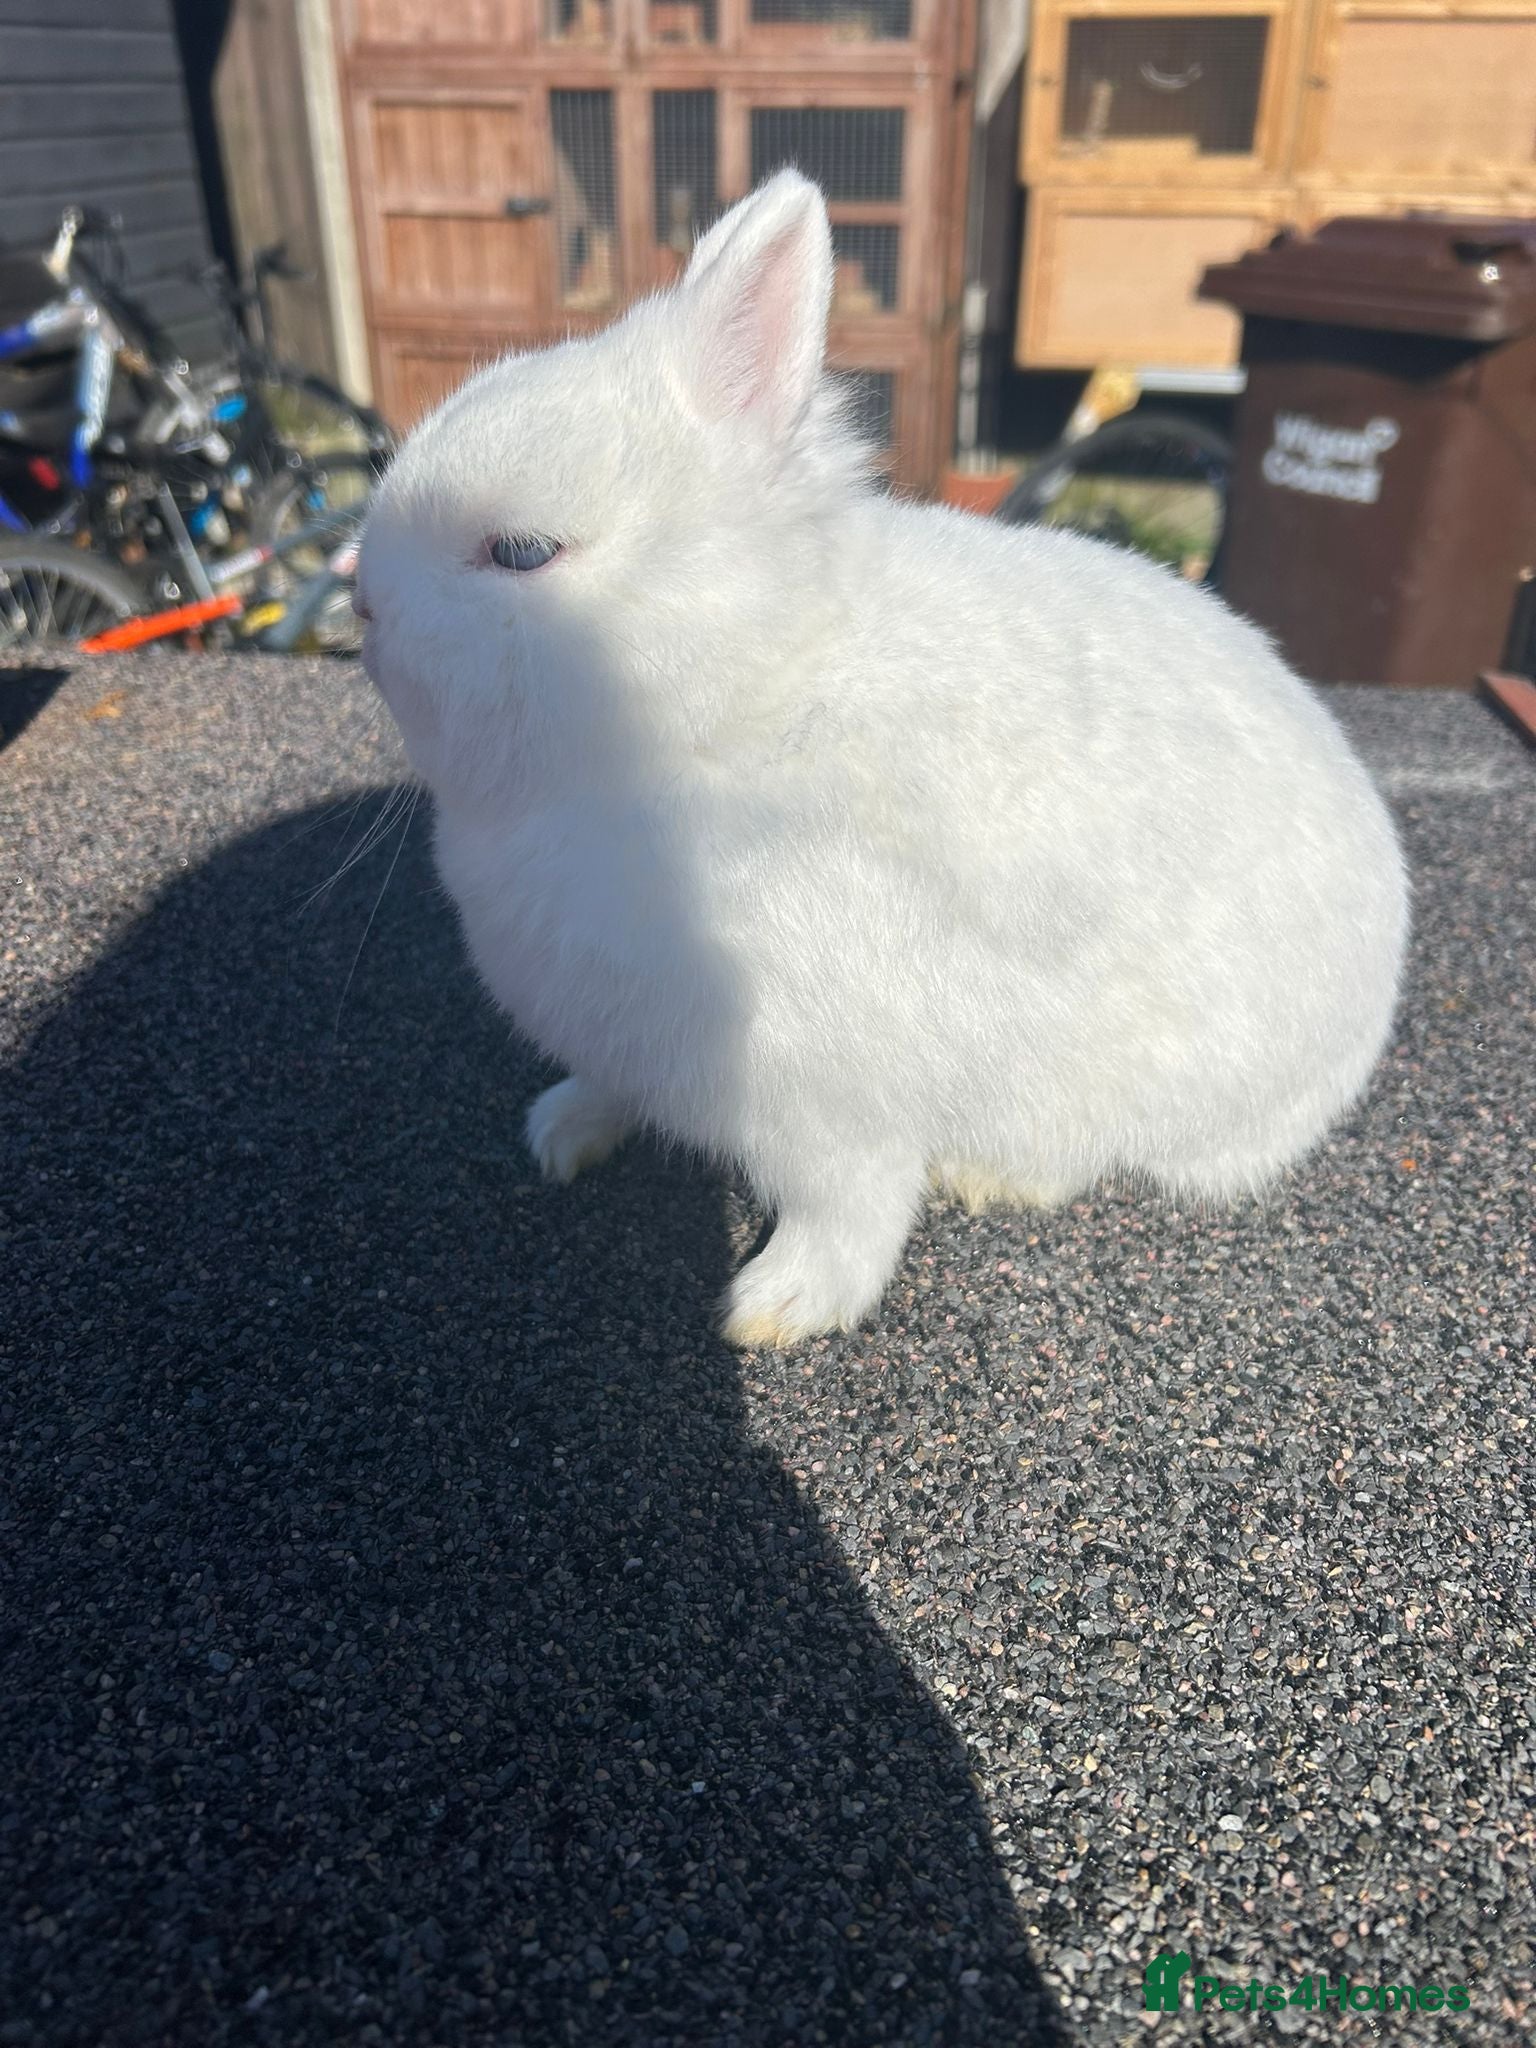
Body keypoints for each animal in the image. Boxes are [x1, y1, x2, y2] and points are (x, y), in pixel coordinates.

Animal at [355, 170, 1410, 1349]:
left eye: (523, 551)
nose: (361, 604)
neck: (738, 709)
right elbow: (609, 1087)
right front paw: (562, 1130)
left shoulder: (829, 1109)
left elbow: (850, 1210)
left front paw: (774, 1307)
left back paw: (995, 1178)